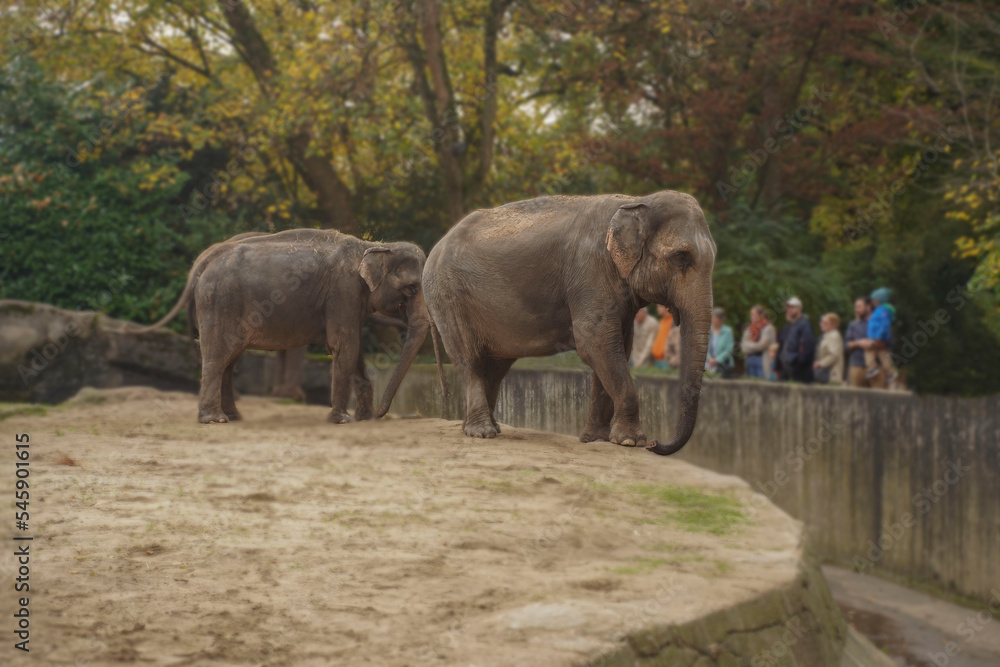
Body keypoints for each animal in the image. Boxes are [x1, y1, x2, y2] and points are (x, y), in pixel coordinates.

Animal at [131, 229, 431, 424]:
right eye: (411, 287)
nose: (383, 414)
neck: (373, 245)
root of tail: (202, 263)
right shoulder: (343, 291)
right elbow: (345, 345)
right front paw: (342, 419)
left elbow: (354, 349)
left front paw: (364, 418)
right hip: (218, 302)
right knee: (218, 356)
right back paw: (215, 420)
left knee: (229, 359)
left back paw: (233, 416)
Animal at [423, 190, 716, 456]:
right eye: (681, 257)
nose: (656, 444)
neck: (637, 201)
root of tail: (435, 247)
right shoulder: (590, 272)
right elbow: (594, 341)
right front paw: (630, 441)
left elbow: (618, 345)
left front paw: (596, 439)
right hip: (448, 298)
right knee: (470, 360)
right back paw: (482, 432)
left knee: (495, 367)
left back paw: (488, 428)